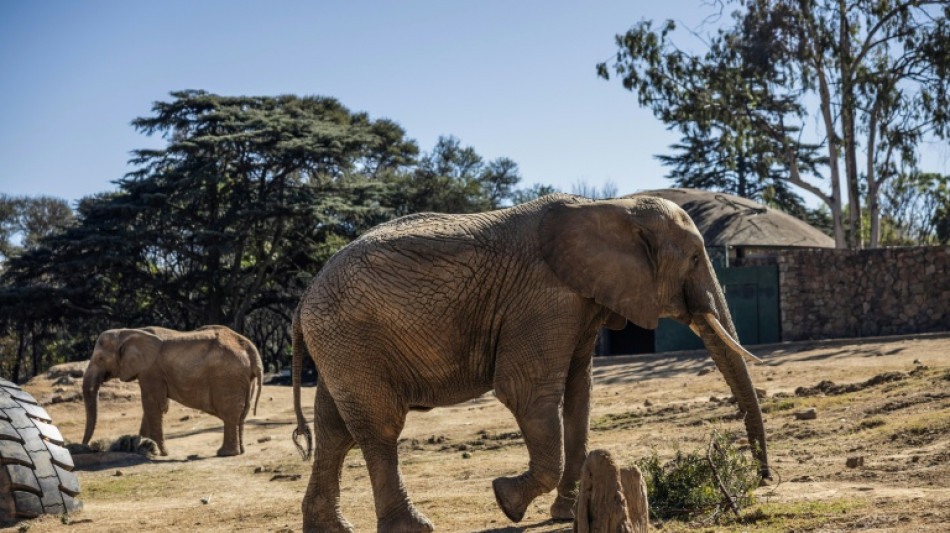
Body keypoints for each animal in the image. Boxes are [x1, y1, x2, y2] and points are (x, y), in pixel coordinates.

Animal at [82, 325, 264, 456]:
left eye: (100, 359)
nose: (86, 447)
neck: (127, 331)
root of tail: (252, 351)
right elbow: (151, 406)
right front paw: (143, 448)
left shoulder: (151, 370)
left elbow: (153, 404)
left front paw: (161, 452)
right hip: (244, 379)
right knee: (241, 415)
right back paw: (240, 451)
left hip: (227, 377)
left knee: (230, 414)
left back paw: (224, 453)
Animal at [290, 193, 769, 533]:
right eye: (695, 258)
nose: (764, 480)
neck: (613, 204)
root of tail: (303, 298)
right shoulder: (543, 298)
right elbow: (527, 391)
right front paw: (507, 501)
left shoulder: (581, 300)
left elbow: (579, 395)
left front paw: (562, 514)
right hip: (351, 338)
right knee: (379, 427)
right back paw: (414, 528)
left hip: (338, 345)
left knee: (334, 432)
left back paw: (332, 528)